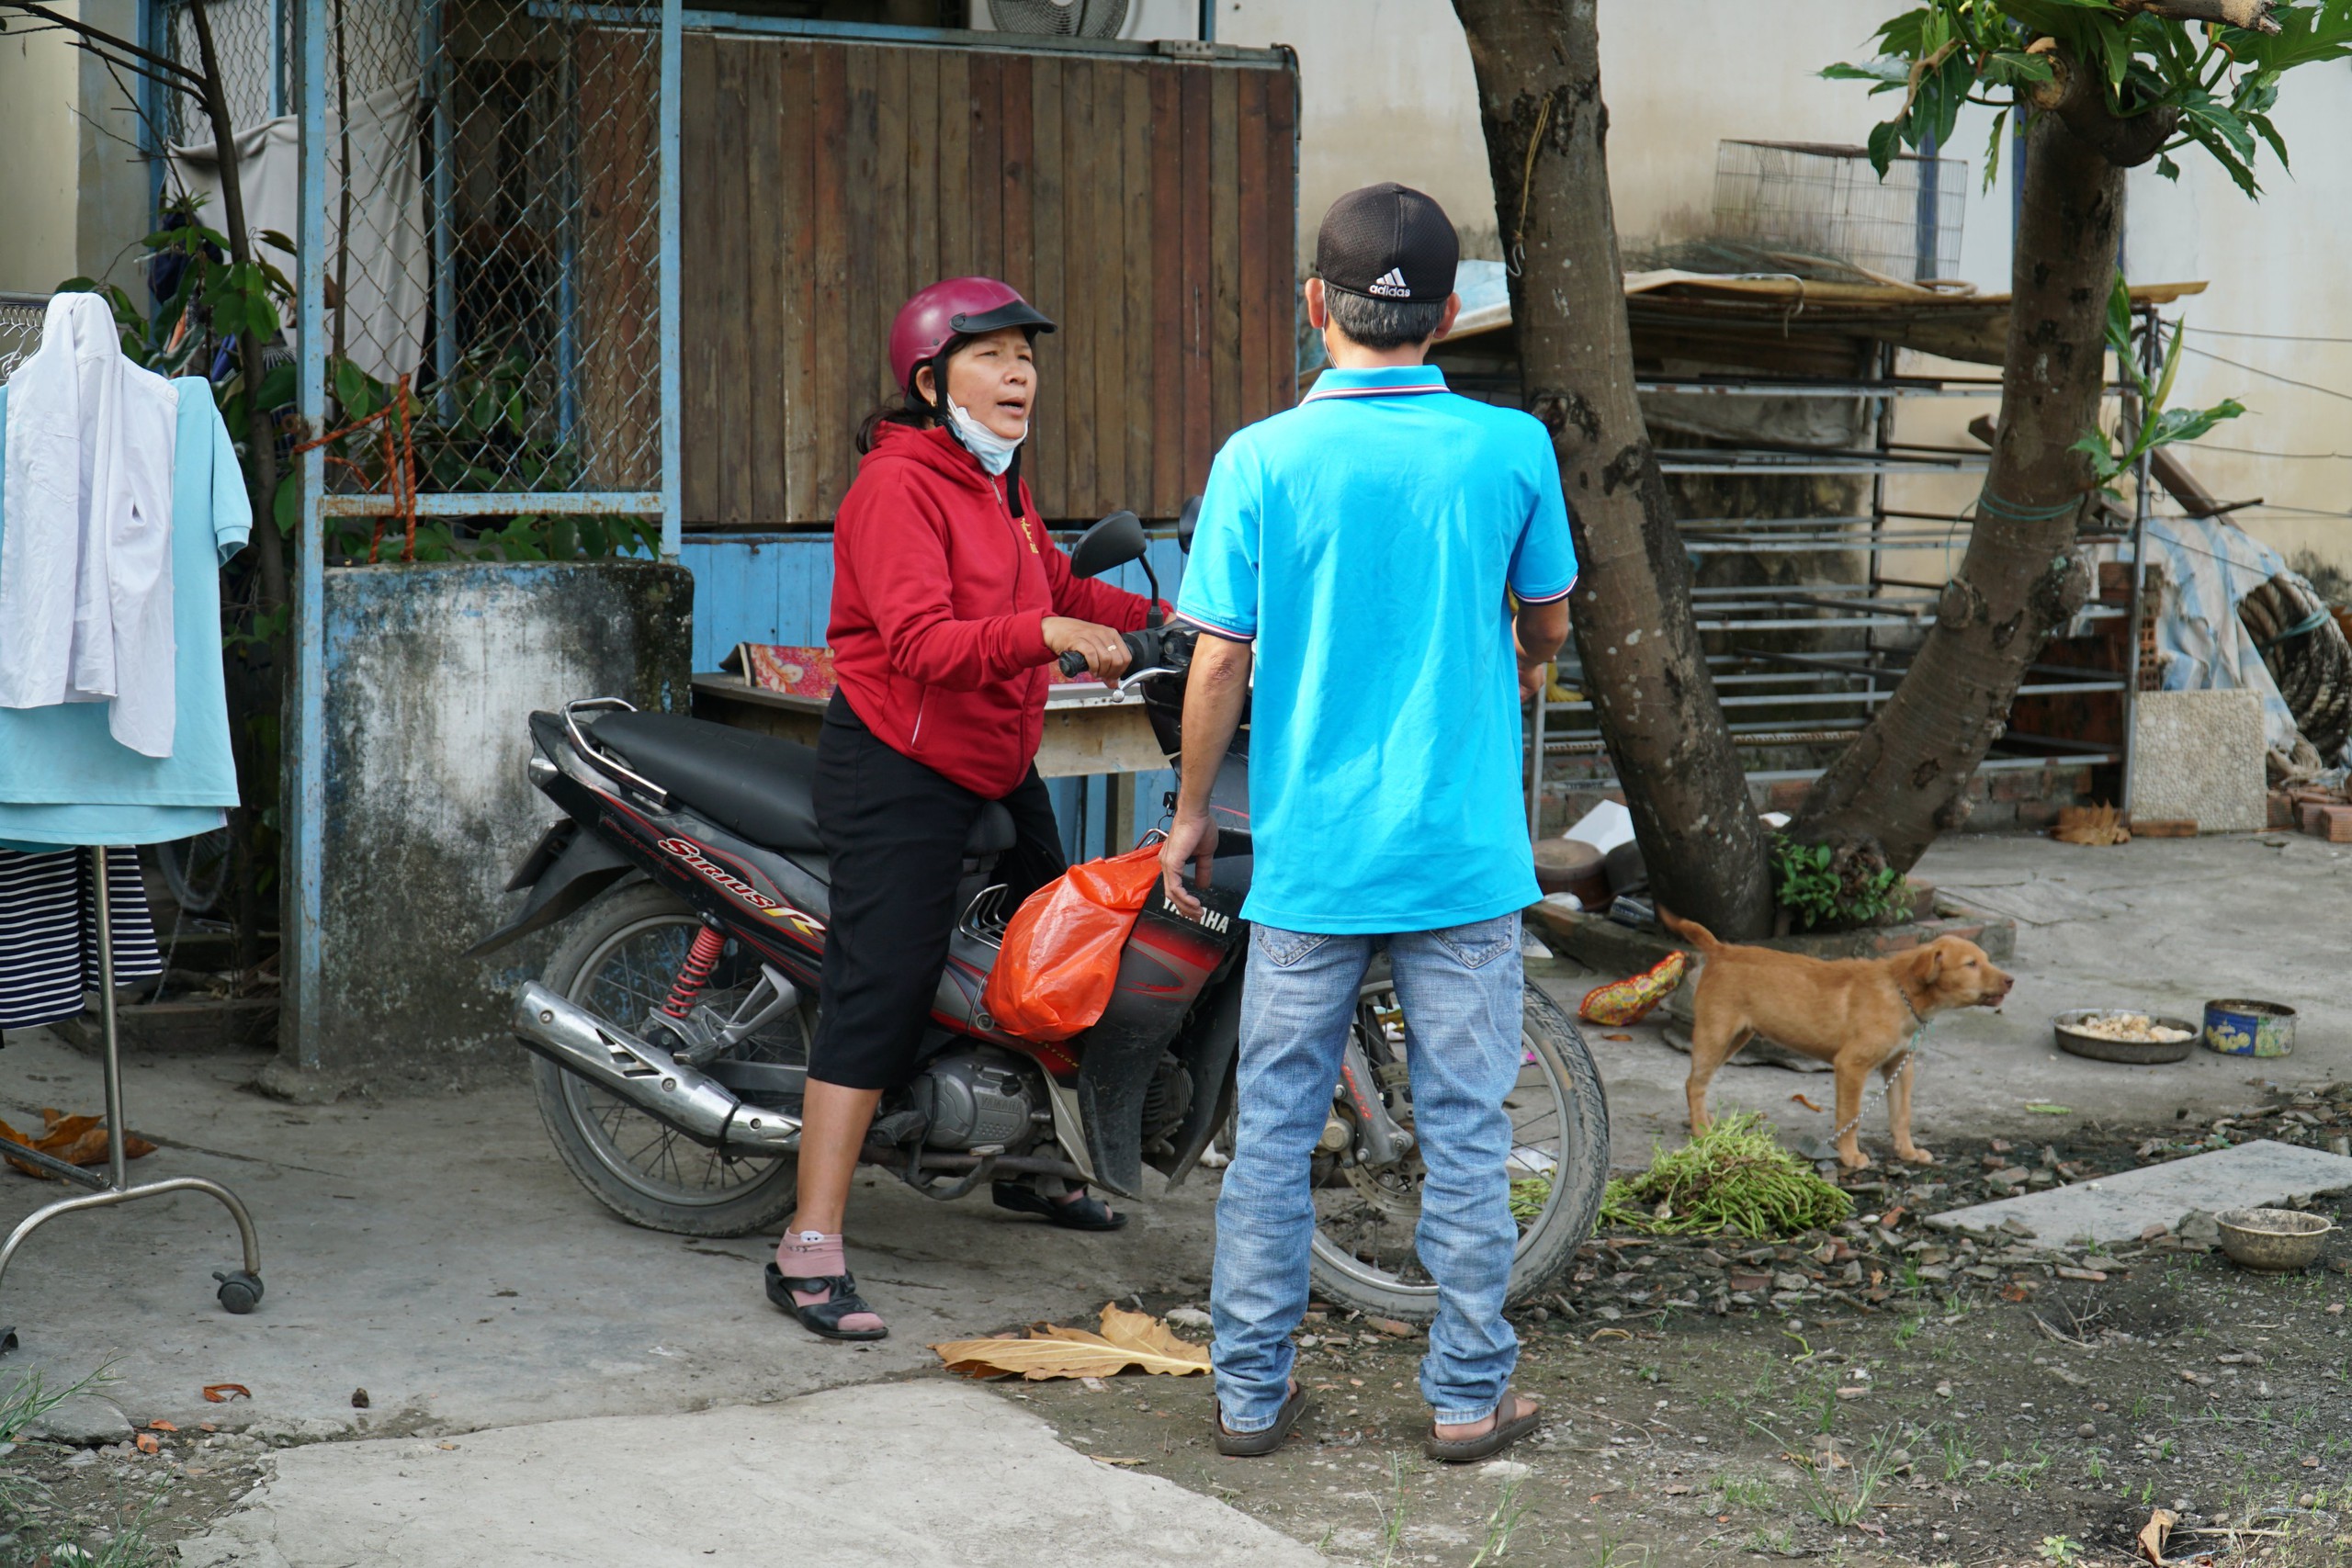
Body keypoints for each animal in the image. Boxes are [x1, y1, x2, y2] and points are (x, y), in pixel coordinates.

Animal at [1656, 911, 2022, 1170]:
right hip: (1716, 1032)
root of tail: (1720, 949)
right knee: (1694, 1083)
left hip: (1737, 1037)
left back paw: (1708, 1125)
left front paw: (1908, 1152)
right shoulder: (1851, 1065)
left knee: (1698, 1082)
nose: (2011, 980)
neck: (1901, 992)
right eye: (1971, 964)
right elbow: (1850, 1116)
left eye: (1986, 960)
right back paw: (1701, 1131)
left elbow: (1901, 1115)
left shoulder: (1900, 1067)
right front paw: (1850, 1157)